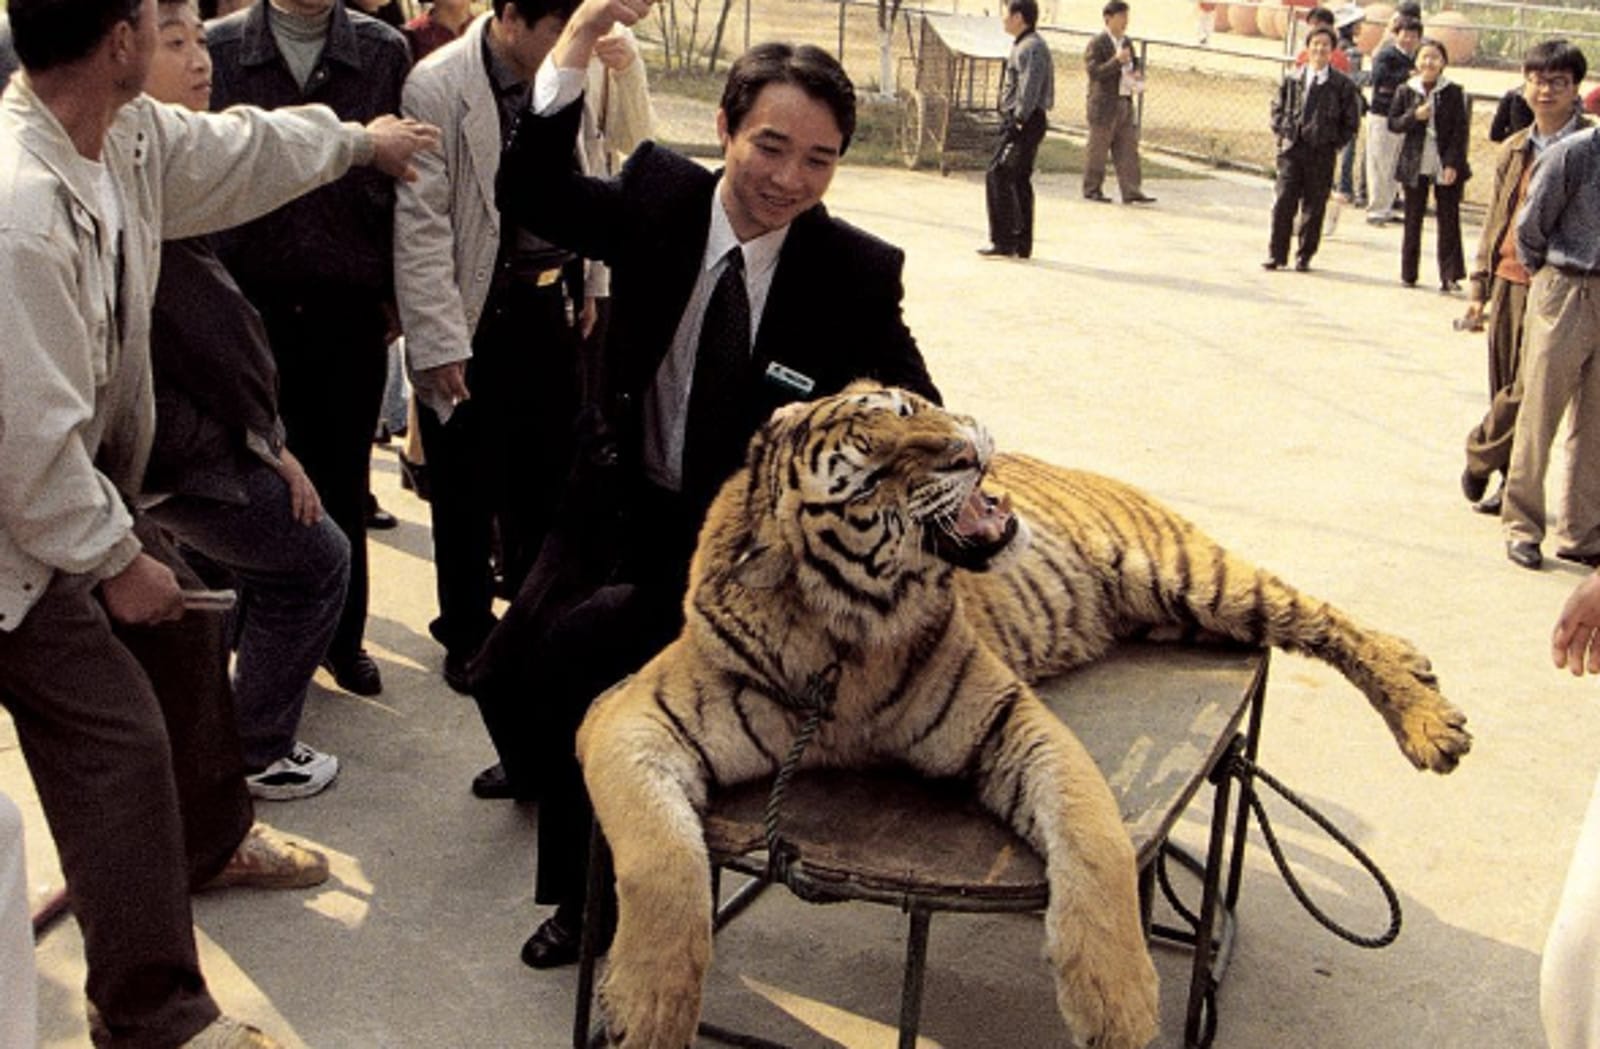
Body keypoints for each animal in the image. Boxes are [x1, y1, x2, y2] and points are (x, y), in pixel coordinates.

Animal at [575, 382, 1471, 1049]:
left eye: (908, 407)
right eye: (869, 477)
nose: (967, 448)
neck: (849, 645)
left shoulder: (1014, 721)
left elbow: (1096, 842)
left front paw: (1118, 1006)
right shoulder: (629, 718)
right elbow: (660, 859)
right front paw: (646, 1010)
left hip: (1197, 575)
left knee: (1328, 617)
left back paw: (1432, 721)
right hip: (1181, 608)